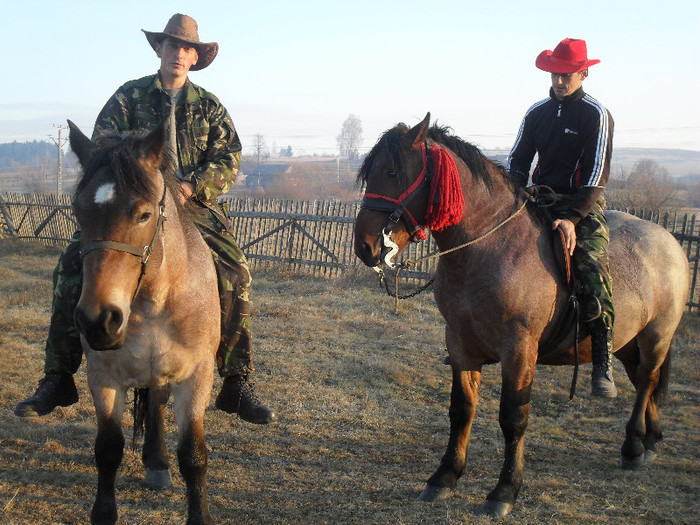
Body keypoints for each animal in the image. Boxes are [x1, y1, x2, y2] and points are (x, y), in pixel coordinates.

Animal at [68, 121, 220, 524]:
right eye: (78, 213)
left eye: (144, 215)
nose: (98, 320)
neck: (155, 301)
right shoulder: (103, 376)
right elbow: (108, 449)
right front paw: (104, 513)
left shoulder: (196, 376)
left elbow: (193, 455)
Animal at [356, 111, 688, 516]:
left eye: (391, 172)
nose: (365, 246)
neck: (489, 247)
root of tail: (669, 240)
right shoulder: (460, 343)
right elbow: (461, 409)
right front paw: (445, 477)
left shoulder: (519, 349)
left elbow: (513, 417)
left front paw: (504, 491)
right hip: (626, 341)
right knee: (646, 380)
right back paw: (650, 440)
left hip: (657, 335)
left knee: (646, 380)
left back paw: (634, 445)